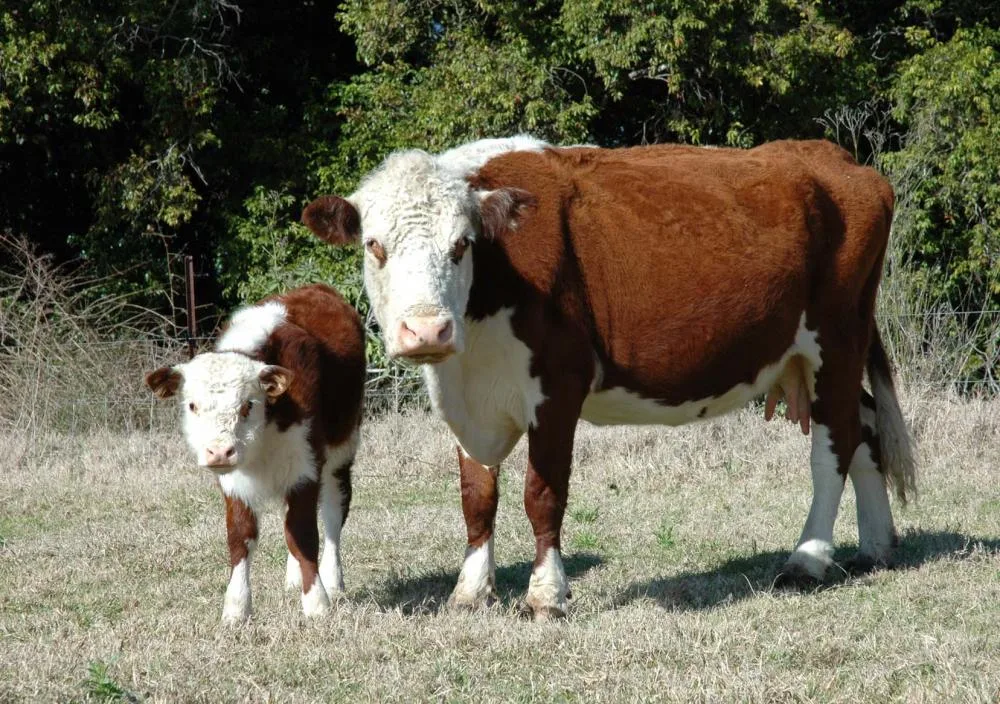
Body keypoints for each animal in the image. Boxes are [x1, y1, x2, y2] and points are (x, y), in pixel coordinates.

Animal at [145, 284, 365, 624]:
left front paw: (316, 602)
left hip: (341, 452)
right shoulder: (233, 481)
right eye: (192, 405)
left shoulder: (304, 466)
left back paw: (333, 580)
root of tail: (316, 289)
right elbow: (241, 537)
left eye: (248, 404)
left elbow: (303, 533)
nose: (219, 451)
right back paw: (293, 578)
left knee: (332, 514)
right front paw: (236, 607)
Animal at [302, 136, 916, 620]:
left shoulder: (558, 384)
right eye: (374, 245)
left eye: (461, 245)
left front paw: (547, 596)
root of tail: (834, 157)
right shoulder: (463, 398)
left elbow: (541, 493)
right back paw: (876, 547)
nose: (427, 330)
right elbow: (477, 496)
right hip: (815, 357)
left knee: (832, 448)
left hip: (836, 341)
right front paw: (471, 591)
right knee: (863, 429)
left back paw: (808, 558)